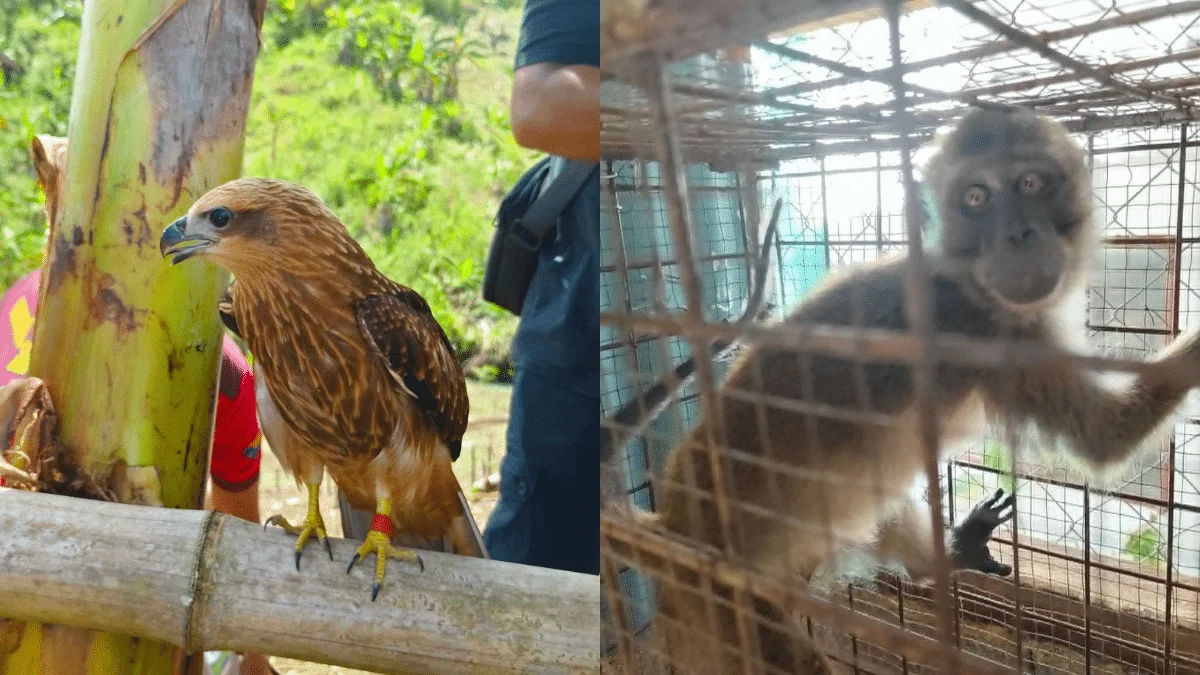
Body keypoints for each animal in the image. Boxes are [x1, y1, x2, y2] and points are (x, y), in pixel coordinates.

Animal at [615, 106, 1200, 675]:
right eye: (976, 197)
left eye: (1031, 183)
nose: (1016, 235)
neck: (962, 281)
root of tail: (675, 525)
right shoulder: (994, 334)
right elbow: (1106, 438)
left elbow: (1104, 434)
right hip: (723, 600)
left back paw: (941, 559)